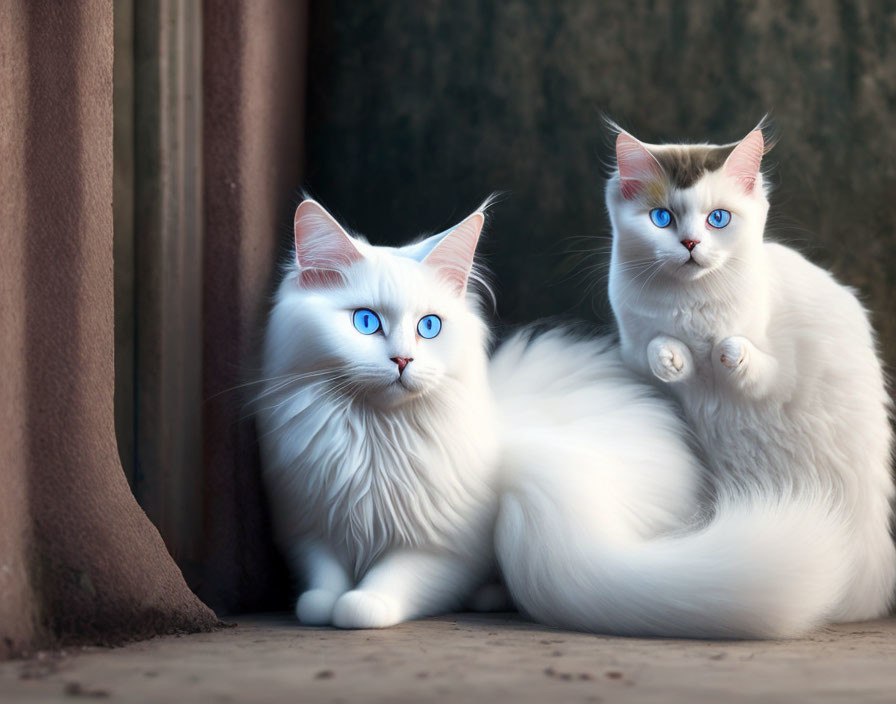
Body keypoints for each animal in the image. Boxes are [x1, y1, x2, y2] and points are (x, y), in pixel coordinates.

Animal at [256, 198, 500, 628]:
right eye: (366, 321)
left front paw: (360, 606)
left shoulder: (442, 547)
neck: (374, 437)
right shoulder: (312, 525)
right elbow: (325, 574)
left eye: (429, 327)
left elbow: (394, 577)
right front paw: (320, 606)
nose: (402, 360)